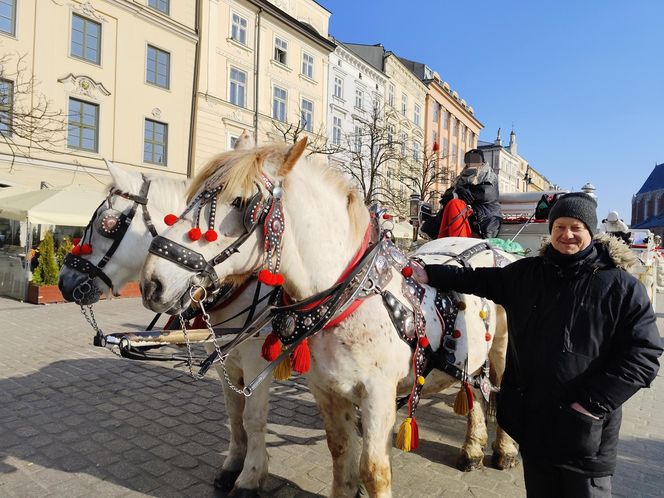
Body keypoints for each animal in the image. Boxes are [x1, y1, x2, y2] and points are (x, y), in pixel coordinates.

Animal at [141, 140, 520, 498]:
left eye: (239, 202)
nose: (152, 282)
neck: (352, 297)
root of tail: (489, 246)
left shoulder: (378, 394)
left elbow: (373, 469)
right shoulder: (327, 389)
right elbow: (340, 453)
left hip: (502, 351)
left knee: (500, 392)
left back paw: (503, 450)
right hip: (472, 355)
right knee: (474, 388)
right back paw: (472, 449)